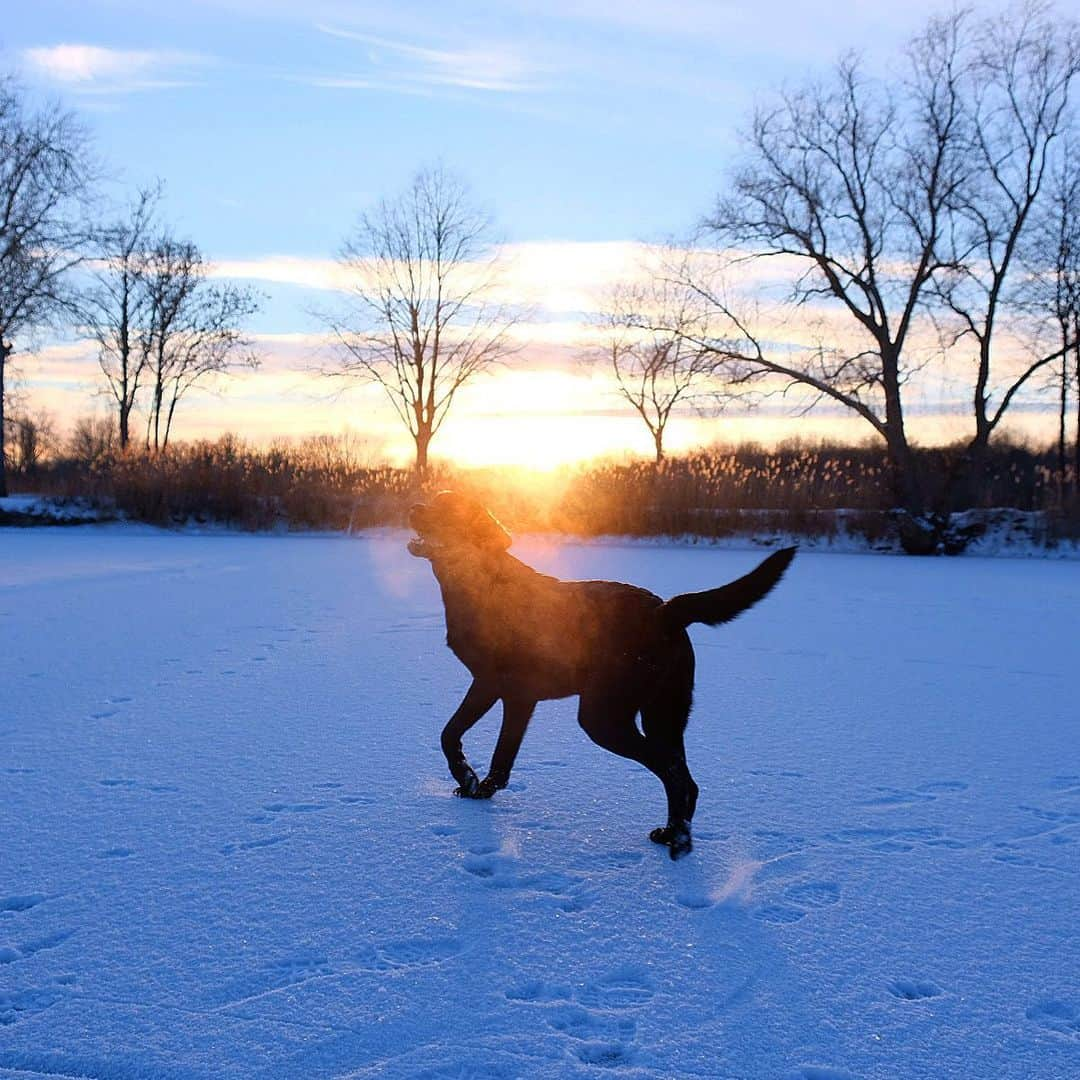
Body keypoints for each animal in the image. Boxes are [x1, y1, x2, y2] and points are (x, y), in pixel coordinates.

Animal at [406, 492, 794, 859]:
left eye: (447, 511)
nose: (413, 509)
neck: (479, 581)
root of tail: (665, 611)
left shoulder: (489, 682)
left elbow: (449, 733)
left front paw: (467, 778)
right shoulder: (521, 697)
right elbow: (503, 757)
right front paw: (482, 789)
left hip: (603, 716)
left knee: (673, 773)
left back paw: (680, 843)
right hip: (663, 714)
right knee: (686, 777)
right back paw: (670, 833)